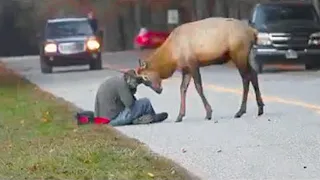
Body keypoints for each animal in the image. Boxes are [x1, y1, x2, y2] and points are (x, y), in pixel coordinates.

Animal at [136, 17, 264, 122]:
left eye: (145, 77)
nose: (158, 90)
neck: (171, 57)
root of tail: (253, 32)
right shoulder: (186, 69)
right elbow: (182, 88)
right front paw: (180, 116)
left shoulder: (193, 63)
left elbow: (198, 87)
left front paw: (209, 113)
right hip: (246, 54)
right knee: (253, 74)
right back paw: (260, 108)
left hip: (238, 53)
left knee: (246, 78)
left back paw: (240, 111)